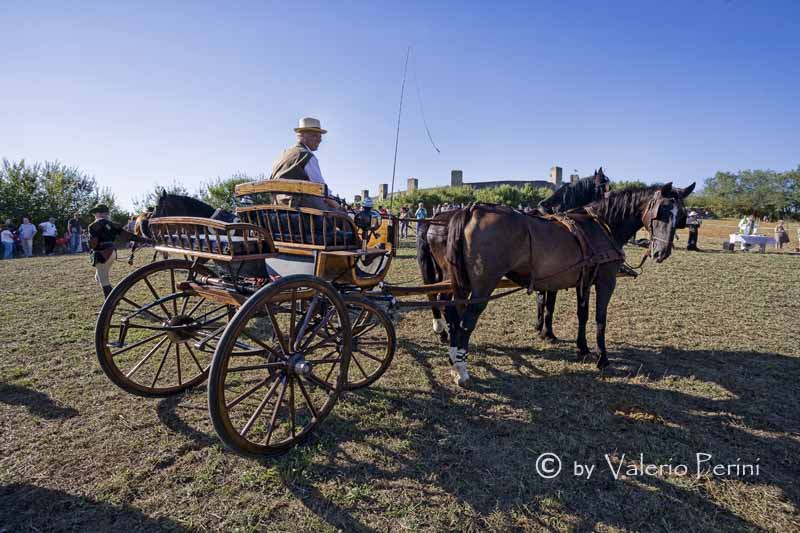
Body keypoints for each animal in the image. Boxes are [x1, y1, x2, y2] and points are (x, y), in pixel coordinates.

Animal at [434, 183, 692, 386]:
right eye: (662, 211)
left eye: (680, 216)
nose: (661, 253)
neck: (601, 225)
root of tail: (472, 209)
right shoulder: (606, 280)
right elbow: (600, 319)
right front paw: (602, 357)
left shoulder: (583, 280)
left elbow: (582, 314)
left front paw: (582, 348)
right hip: (482, 287)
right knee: (466, 323)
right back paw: (462, 371)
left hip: (462, 284)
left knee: (454, 316)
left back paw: (453, 358)